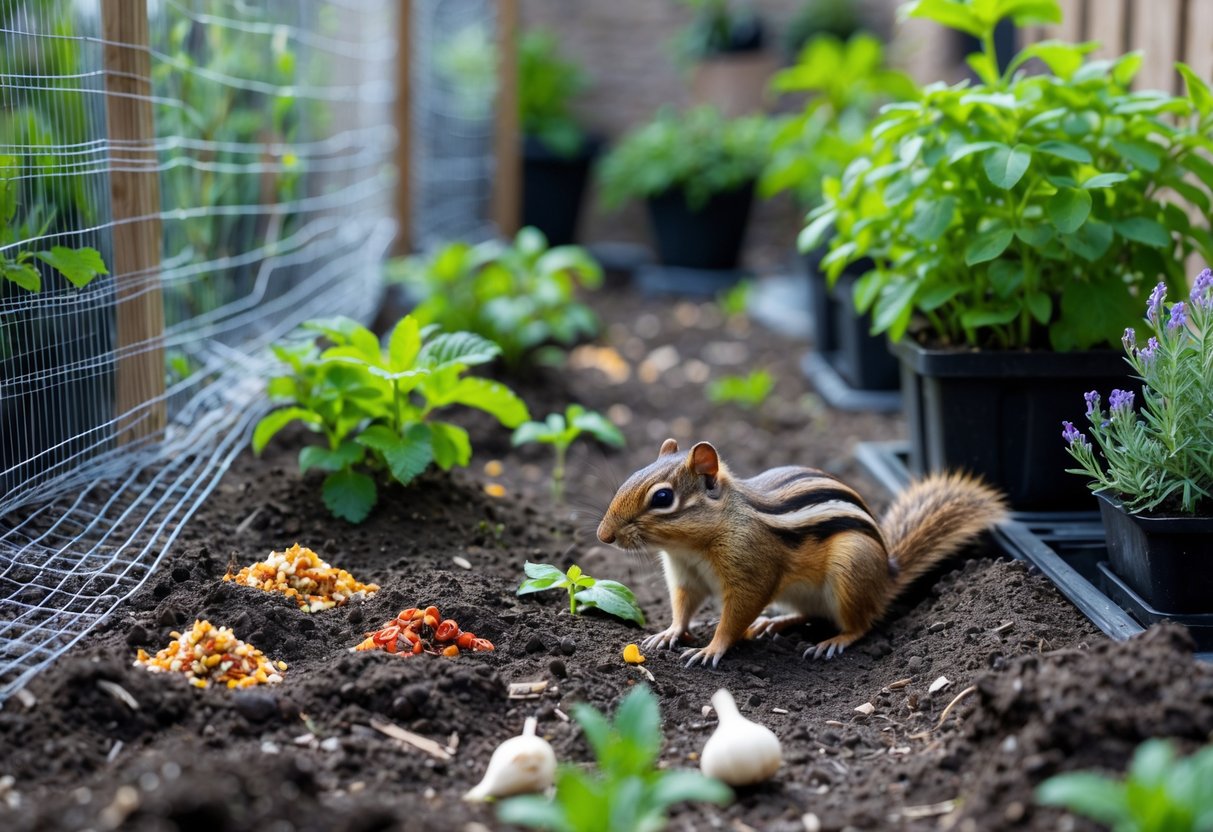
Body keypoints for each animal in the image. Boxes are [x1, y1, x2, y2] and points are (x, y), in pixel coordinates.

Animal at [596, 439, 1007, 668]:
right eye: (633, 475)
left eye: (663, 497)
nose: (604, 535)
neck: (692, 547)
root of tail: (886, 575)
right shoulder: (686, 577)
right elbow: (683, 607)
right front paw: (668, 633)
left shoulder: (752, 569)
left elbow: (737, 614)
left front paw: (712, 648)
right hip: (801, 592)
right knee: (811, 613)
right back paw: (773, 623)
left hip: (850, 570)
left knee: (861, 624)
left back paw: (832, 642)